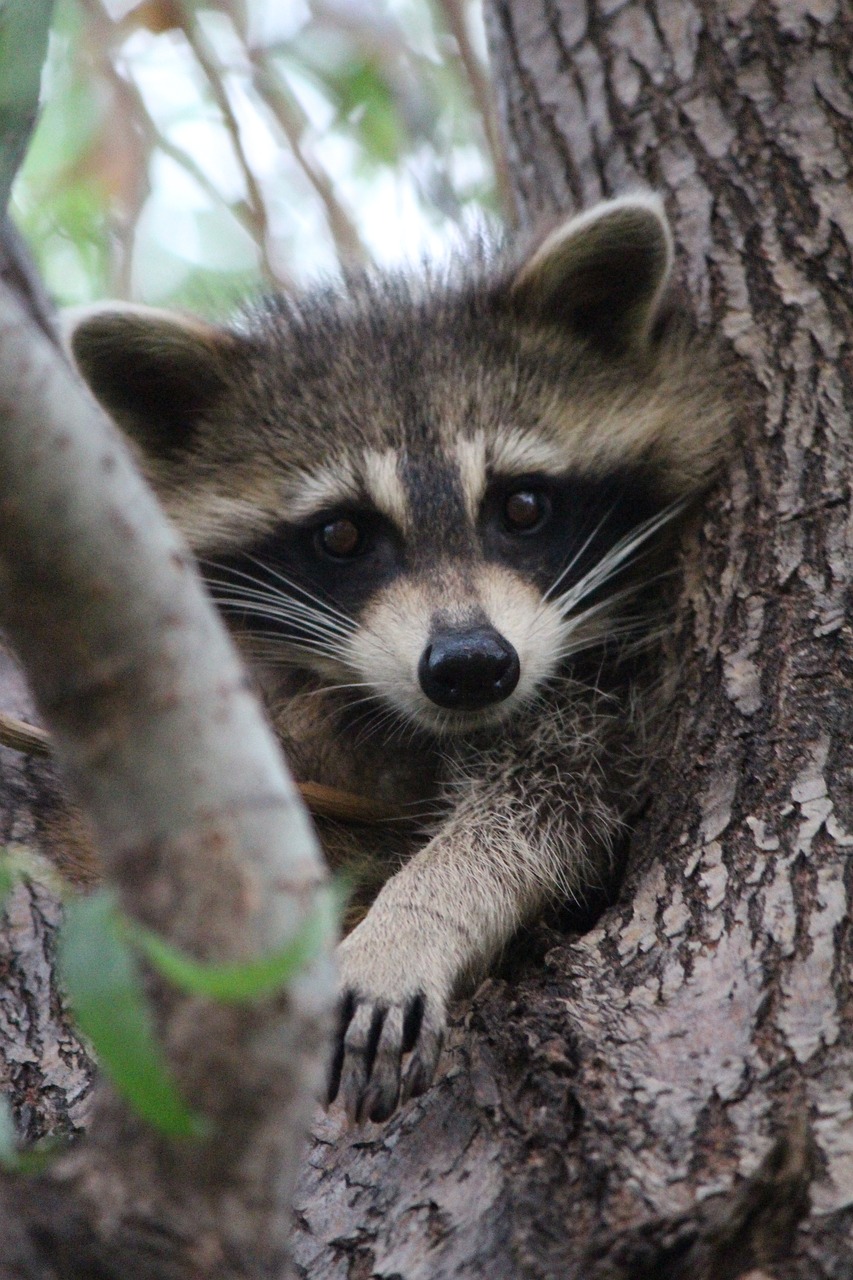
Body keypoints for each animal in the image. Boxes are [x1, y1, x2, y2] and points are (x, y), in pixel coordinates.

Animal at [64, 195, 729, 1124]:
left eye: (523, 507)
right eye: (342, 535)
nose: (471, 665)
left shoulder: (617, 690)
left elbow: (550, 798)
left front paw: (417, 915)